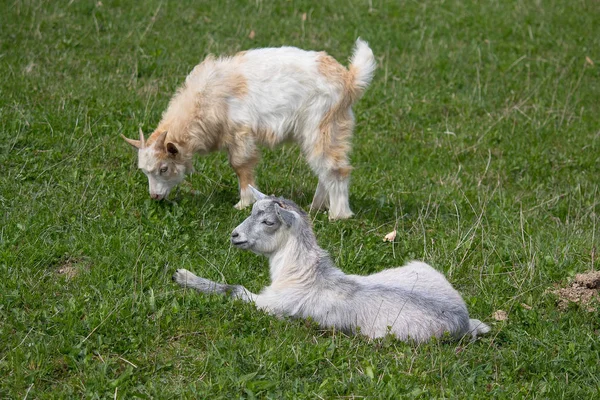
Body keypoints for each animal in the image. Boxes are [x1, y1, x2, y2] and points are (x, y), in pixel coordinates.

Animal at [122, 38, 376, 219]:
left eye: (164, 168)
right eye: (144, 171)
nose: (155, 196)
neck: (207, 97)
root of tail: (348, 80)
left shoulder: (240, 135)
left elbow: (240, 166)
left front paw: (244, 203)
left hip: (324, 126)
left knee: (335, 169)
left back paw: (338, 215)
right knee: (324, 168)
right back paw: (316, 207)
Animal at [171, 189, 490, 342]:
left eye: (268, 221)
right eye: (251, 211)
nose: (234, 235)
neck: (303, 275)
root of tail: (464, 321)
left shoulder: (272, 306)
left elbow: (234, 289)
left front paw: (182, 275)